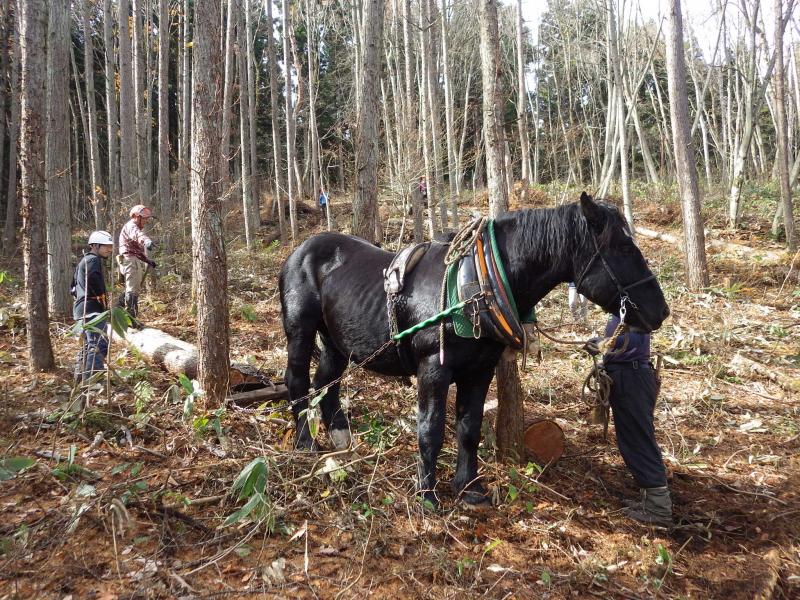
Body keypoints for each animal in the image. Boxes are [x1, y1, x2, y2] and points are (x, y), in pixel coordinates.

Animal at [282, 193, 668, 506]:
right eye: (623, 248)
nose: (661, 311)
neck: (477, 287)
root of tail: (300, 250)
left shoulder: (480, 370)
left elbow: (469, 429)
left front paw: (469, 489)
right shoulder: (434, 369)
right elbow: (431, 429)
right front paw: (427, 494)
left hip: (336, 342)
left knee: (326, 383)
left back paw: (340, 438)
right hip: (300, 331)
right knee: (298, 381)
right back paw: (305, 443)